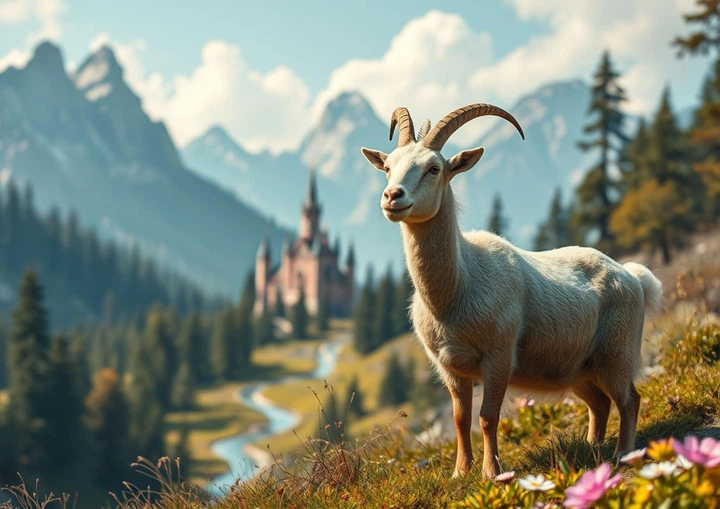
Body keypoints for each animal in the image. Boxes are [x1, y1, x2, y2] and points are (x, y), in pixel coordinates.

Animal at [360, 104, 663, 479]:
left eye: (434, 168)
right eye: (388, 167)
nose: (392, 197)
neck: (458, 288)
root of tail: (633, 276)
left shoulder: (499, 356)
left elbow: (487, 417)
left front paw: (492, 472)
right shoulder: (450, 367)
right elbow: (460, 419)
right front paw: (461, 472)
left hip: (616, 351)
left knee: (629, 398)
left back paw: (624, 452)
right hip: (578, 366)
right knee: (600, 402)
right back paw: (594, 447)